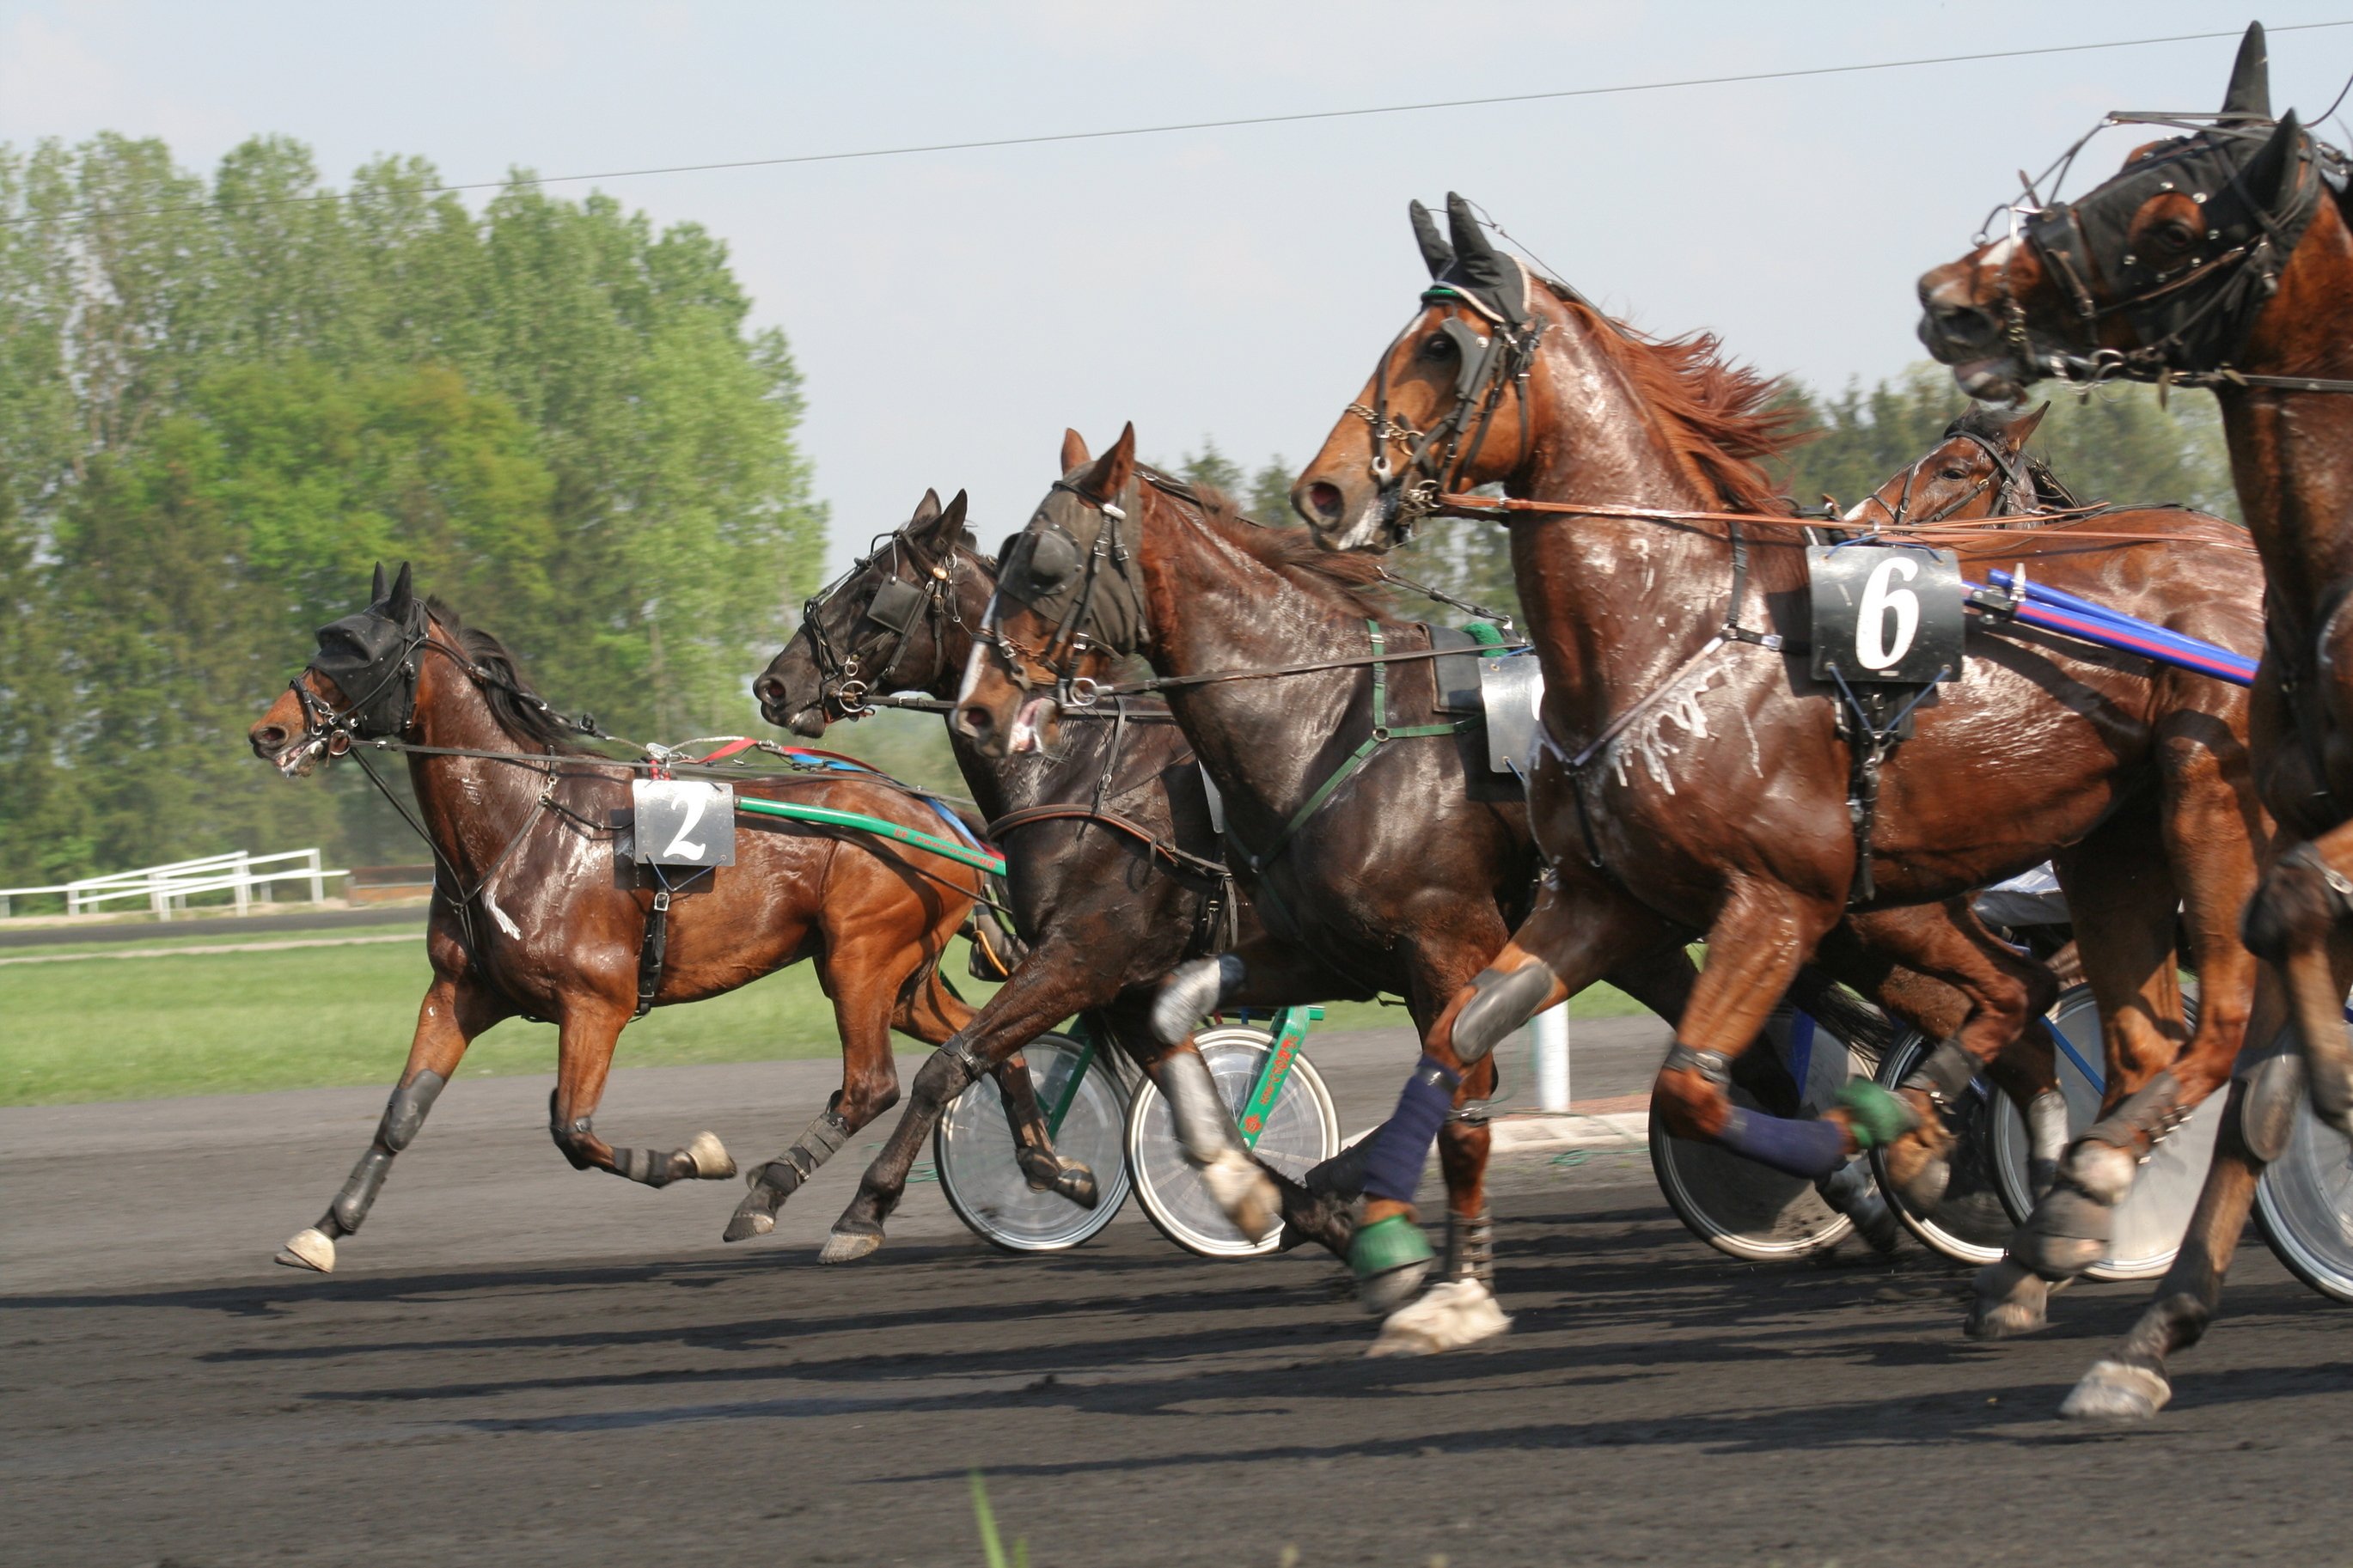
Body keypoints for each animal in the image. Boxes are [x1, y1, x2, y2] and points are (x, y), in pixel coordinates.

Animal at [246, 563, 1023, 1272]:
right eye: (325, 640)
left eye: (356, 649)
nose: (269, 731)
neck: (522, 822)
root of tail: (940, 816)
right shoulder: (459, 991)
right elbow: (403, 1111)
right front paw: (327, 1227)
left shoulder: (595, 1002)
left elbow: (574, 1129)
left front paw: (695, 1157)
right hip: (901, 976)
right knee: (985, 1050)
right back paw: (1041, 1168)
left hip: (859, 957)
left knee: (873, 1084)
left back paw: (782, 1198)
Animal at [748, 486, 1355, 1262]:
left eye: (871, 591)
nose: (773, 683)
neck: (1083, 767)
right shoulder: (1131, 982)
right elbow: (1201, 1115)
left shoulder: (1083, 956)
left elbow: (948, 1066)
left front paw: (864, 1207)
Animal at [1286, 195, 2271, 1379]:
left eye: (1440, 345)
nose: (1324, 490)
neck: (1671, 632)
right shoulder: (1599, 898)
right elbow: (1458, 1041)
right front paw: (1409, 1254)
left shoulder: (1774, 902)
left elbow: (1690, 1087)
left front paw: (1897, 1147)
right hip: (2094, 846)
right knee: (2089, 1023)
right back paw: (2047, 1243)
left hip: (2202, 806)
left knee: (2199, 1027)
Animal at [1914, 22, 2350, 1417]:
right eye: (2118, 172)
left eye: (2168, 223)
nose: (1951, 292)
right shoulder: (2288, 810)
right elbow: (2253, 1063)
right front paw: (2145, 1329)